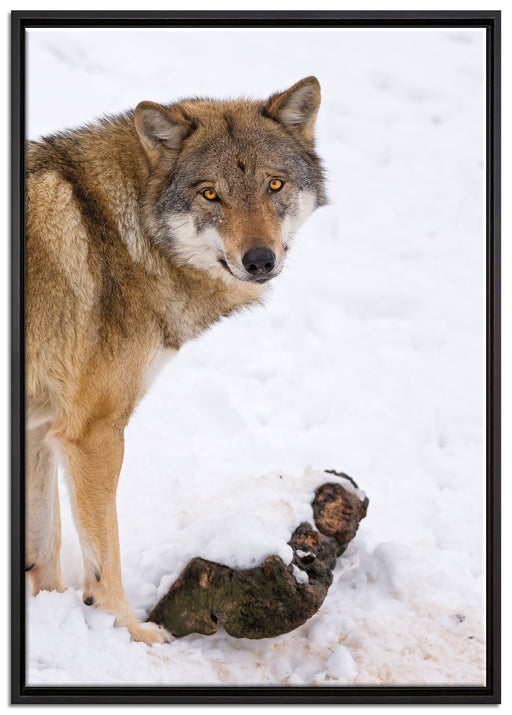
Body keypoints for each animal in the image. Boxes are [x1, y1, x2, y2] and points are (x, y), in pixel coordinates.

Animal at [25, 77, 326, 644]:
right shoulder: (92, 433)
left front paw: (48, 613)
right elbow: (105, 555)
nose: (260, 260)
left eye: (274, 186)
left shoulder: (40, 427)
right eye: (210, 193)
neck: (124, 235)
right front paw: (129, 635)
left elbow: (43, 547)